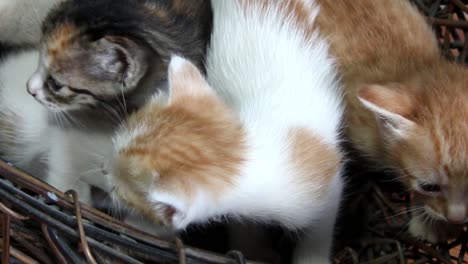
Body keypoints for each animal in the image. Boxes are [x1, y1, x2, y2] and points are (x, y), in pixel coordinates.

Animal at [109, 0, 344, 262]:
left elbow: (320, 228)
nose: (105, 173)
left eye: (119, 192)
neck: (245, 154)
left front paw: (312, 256)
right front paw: (255, 251)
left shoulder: (327, 187)